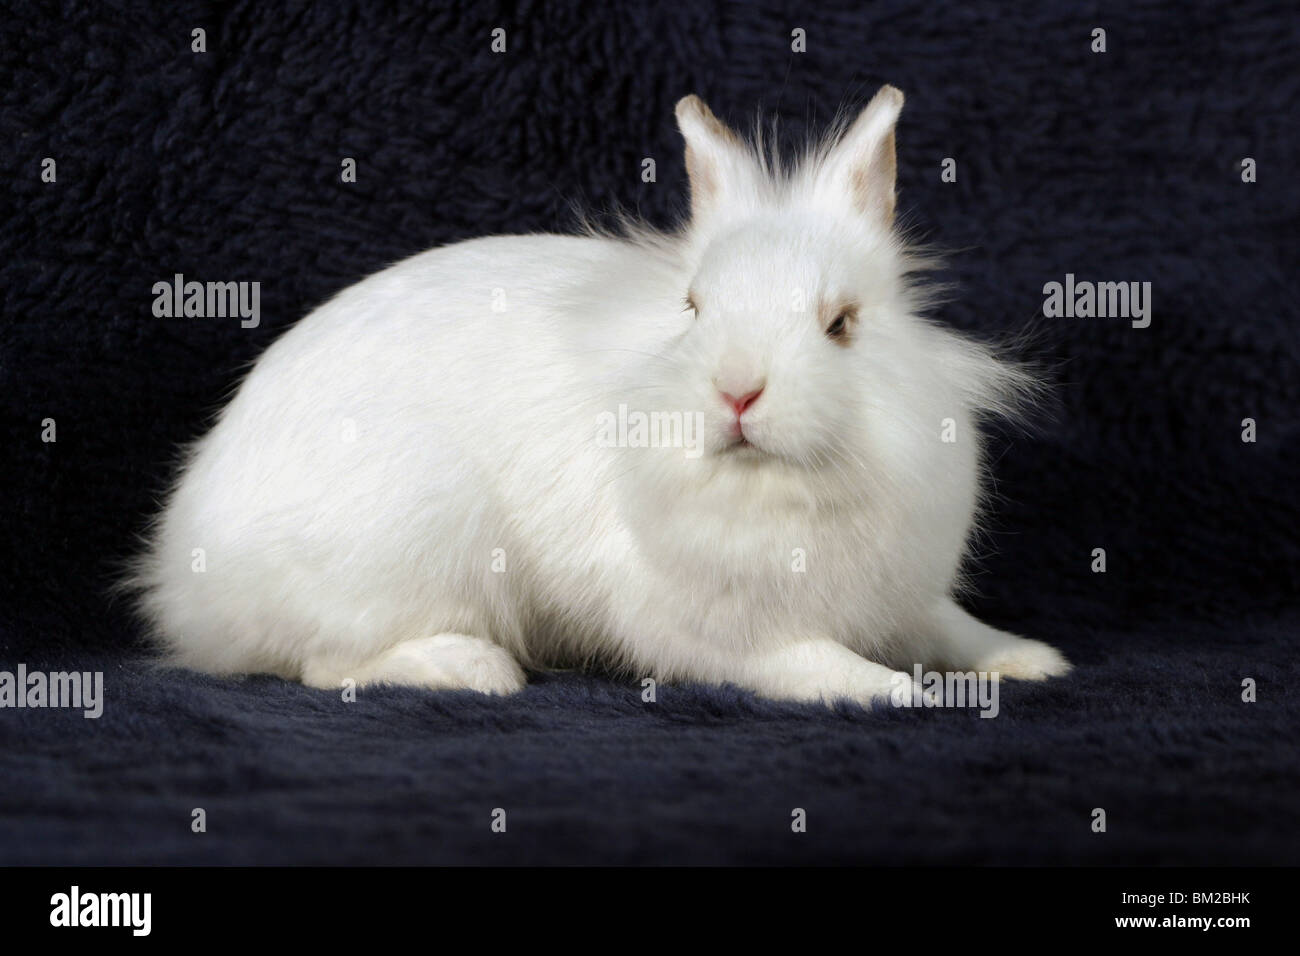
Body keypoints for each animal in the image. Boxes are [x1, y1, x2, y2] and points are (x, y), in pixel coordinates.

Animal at [129, 87, 1066, 702]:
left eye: (841, 324)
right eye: (694, 308)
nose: (737, 391)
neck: (785, 497)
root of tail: (182, 576)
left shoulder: (909, 599)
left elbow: (953, 629)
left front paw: (1032, 660)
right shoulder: (726, 636)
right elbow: (822, 670)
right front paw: (908, 694)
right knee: (326, 667)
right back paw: (476, 670)